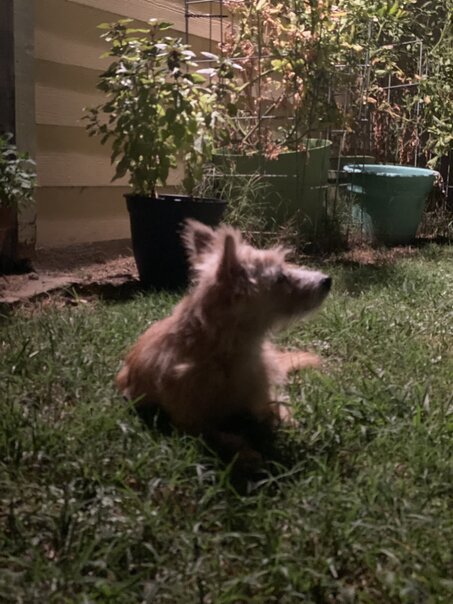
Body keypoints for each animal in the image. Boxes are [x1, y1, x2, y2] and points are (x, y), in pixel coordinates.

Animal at [117, 220, 331, 465]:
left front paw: (293, 423)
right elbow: (213, 435)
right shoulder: (185, 420)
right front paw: (245, 451)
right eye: (280, 278)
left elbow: (276, 408)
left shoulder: (260, 393)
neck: (226, 351)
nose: (327, 280)